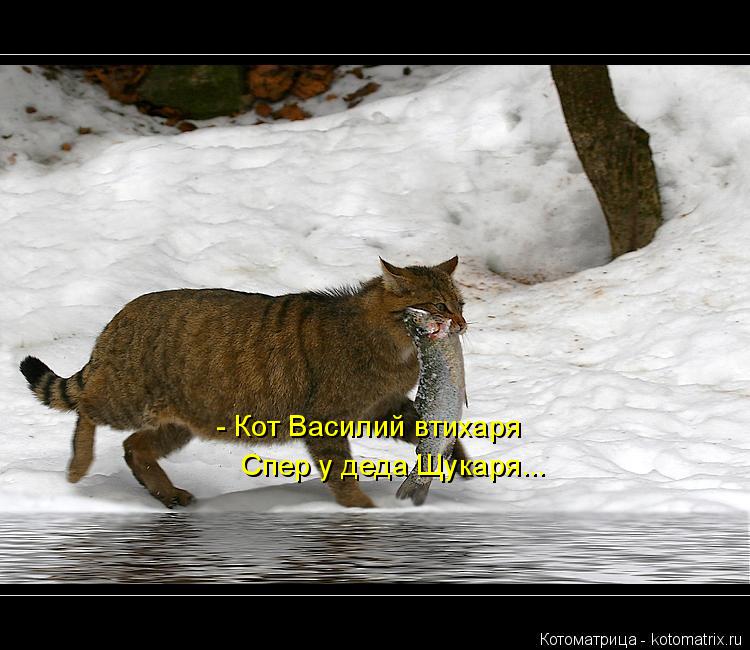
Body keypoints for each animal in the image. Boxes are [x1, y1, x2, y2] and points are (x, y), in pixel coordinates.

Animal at [19, 256, 470, 506]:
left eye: (460, 304)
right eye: (438, 305)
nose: (463, 323)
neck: (395, 346)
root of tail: (117, 318)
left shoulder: (384, 407)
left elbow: (435, 432)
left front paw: (462, 464)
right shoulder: (328, 418)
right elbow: (341, 473)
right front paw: (361, 508)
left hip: (181, 422)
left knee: (134, 448)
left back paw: (168, 493)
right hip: (124, 398)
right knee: (86, 408)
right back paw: (77, 467)